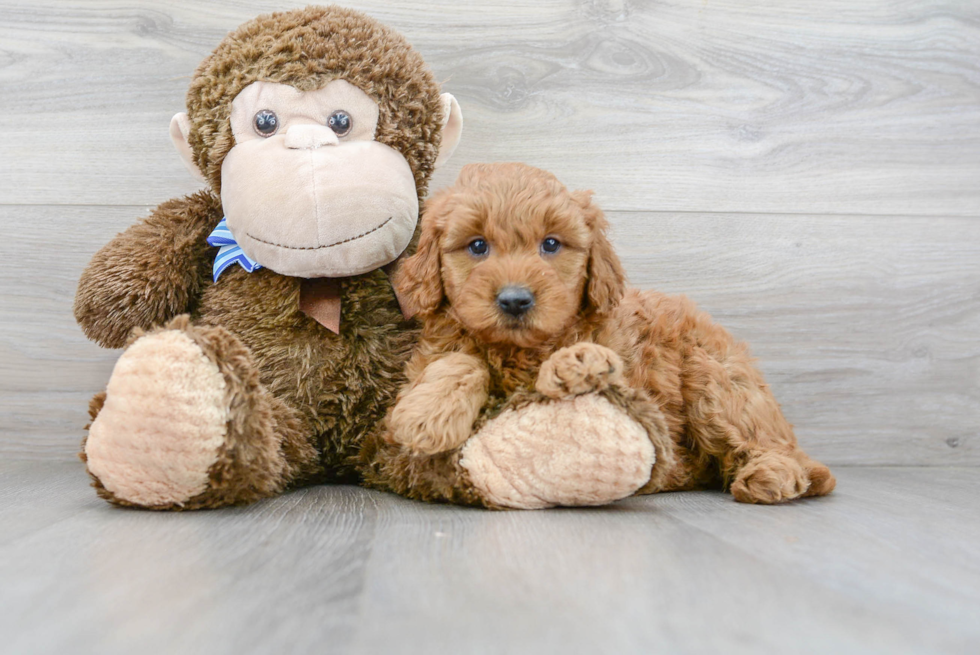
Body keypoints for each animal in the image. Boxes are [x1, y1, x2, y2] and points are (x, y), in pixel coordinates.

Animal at [390, 161, 836, 504]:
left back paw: (772, 475)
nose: (515, 300)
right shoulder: (434, 350)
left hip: (716, 383)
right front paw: (425, 417)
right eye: (477, 246)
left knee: (769, 443)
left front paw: (574, 363)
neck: (516, 351)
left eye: (551, 244)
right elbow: (460, 361)